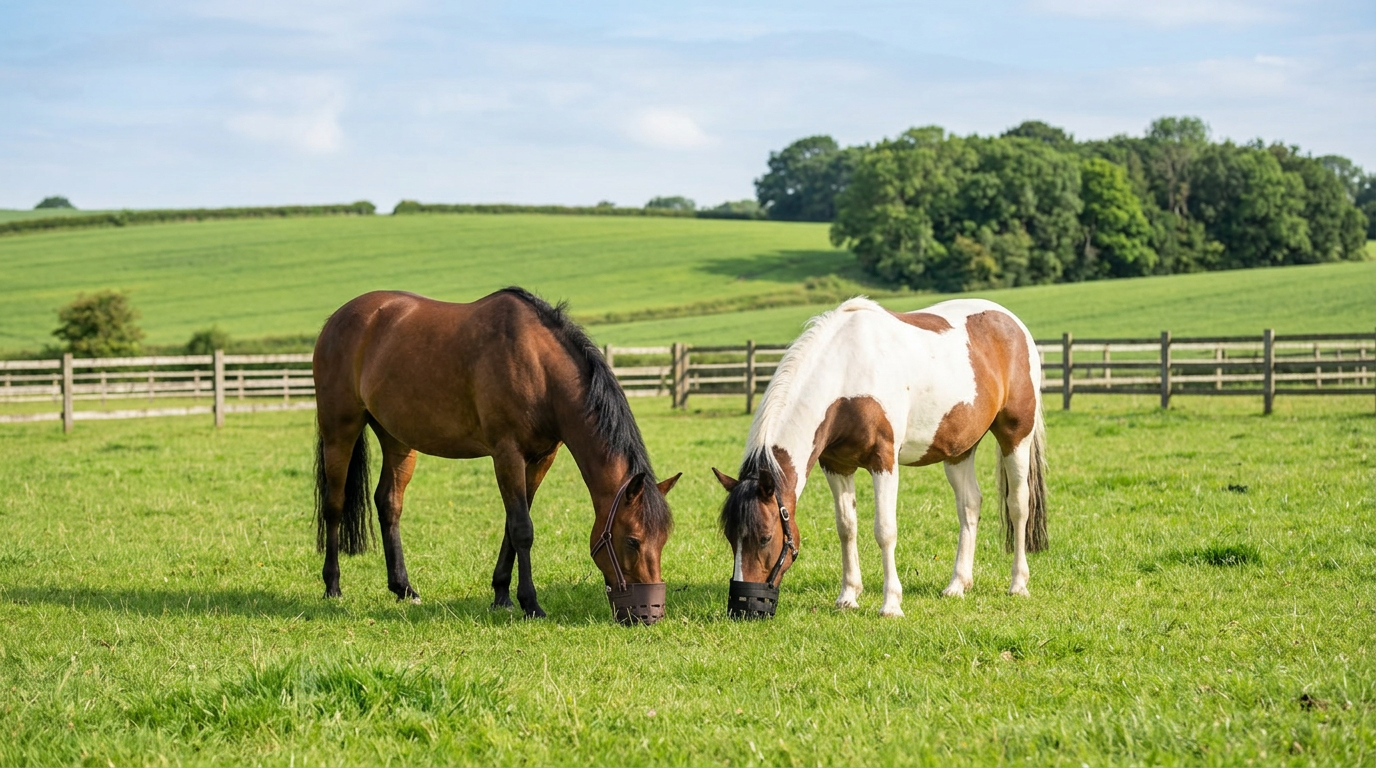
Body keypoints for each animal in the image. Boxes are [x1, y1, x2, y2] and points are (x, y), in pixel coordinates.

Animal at [312, 288, 681, 625]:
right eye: (632, 541)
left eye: (663, 539)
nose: (649, 614)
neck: (539, 367)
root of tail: (338, 318)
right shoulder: (507, 453)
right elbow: (522, 528)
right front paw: (530, 603)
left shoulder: (541, 458)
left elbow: (512, 524)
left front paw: (501, 595)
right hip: (339, 430)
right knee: (334, 504)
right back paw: (332, 586)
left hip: (397, 440)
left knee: (389, 503)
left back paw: (403, 588)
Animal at [712, 297, 1047, 619]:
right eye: (730, 537)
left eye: (765, 537)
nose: (744, 608)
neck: (846, 373)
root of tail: (1012, 323)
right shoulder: (836, 466)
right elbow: (846, 527)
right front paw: (848, 597)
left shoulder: (883, 462)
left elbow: (885, 531)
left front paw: (891, 605)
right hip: (959, 450)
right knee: (969, 505)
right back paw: (957, 585)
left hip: (1015, 436)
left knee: (1018, 506)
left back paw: (1018, 584)